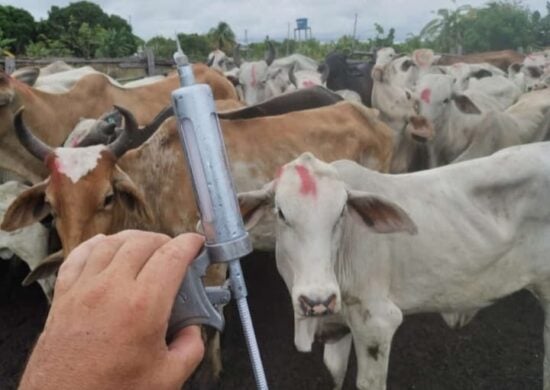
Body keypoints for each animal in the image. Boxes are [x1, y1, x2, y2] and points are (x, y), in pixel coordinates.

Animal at [240, 147, 550, 390]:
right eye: (281, 213)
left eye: (341, 213)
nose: (318, 301)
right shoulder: (339, 328)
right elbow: (335, 373)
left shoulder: (377, 322)